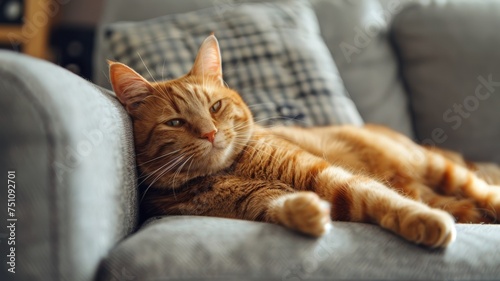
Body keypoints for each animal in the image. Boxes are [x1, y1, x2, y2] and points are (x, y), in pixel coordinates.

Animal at [109, 34, 500, 247]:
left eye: (214, 107)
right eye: (175, 122)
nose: (209, 132)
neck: (231, 171)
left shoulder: (327, 175)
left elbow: (382, 197)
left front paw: (425, 221)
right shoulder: (258, 204)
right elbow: (281, 207)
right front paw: (306, 212)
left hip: (439, 169)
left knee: (483, 191)